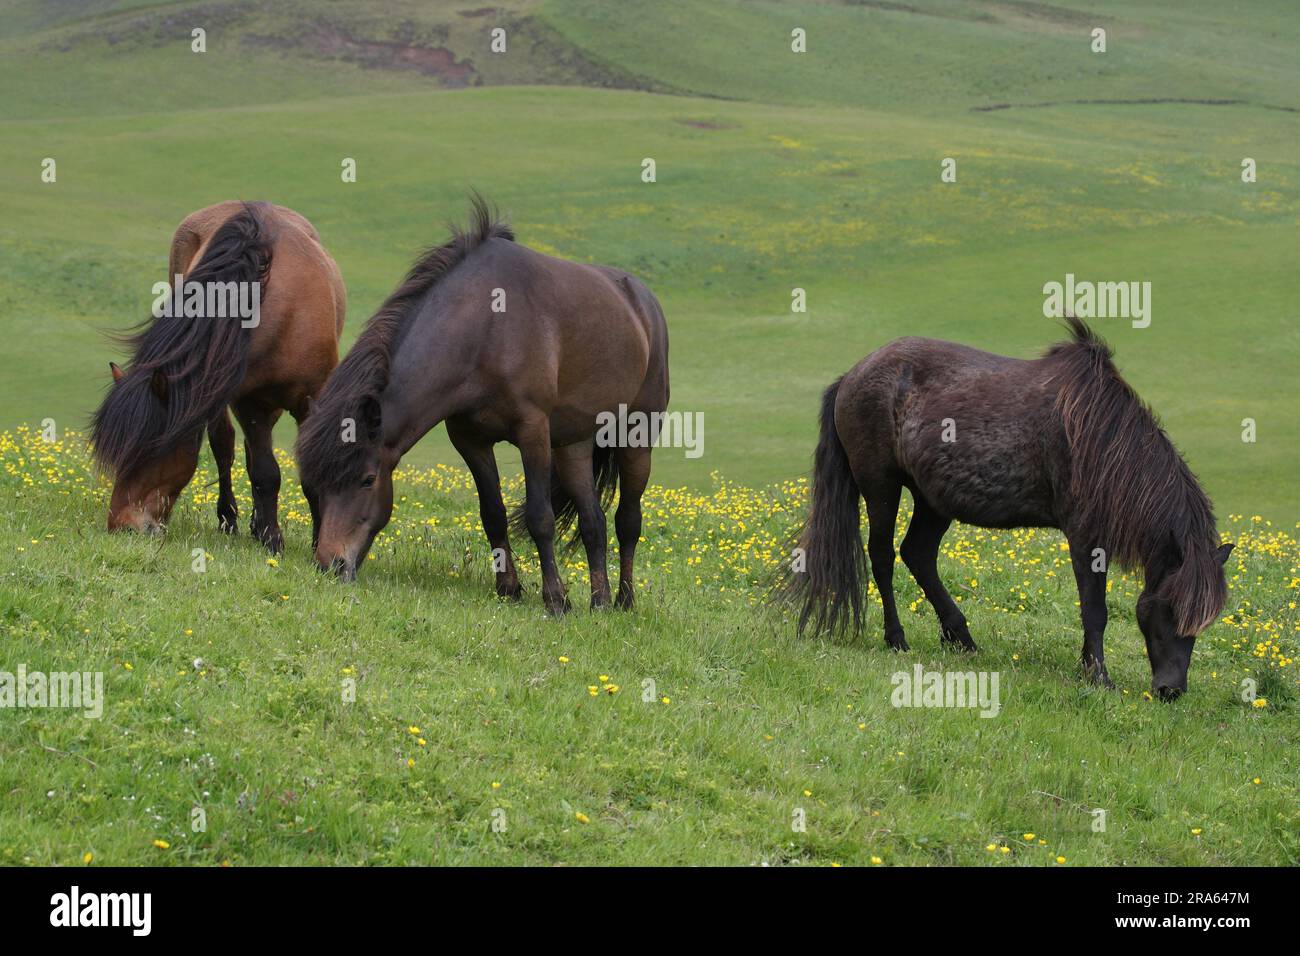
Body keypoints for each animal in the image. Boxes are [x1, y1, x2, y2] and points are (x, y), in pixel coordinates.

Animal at [89, 201, 348, 554]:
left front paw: (317, 542)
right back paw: (233, 519)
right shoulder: (250, 403)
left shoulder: (312, 400)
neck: (284, 312)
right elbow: (264, 472)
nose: (121, 526)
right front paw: (271, 538)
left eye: (148, 451)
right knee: (227, 447)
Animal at [297, 197, 670, 616]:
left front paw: (555, 599)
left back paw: (625, 599)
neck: (486, 327)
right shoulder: (470, 439)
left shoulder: (532, 430)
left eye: (367, 479)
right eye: (313, 481)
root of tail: (644, 305)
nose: (330, 563)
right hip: (573, 445)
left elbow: (540, 516)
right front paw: (508, 588)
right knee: (594, 519)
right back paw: (600, 601)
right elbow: (492, 513)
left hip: (637, 435)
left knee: (628, 520)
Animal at [774, 317, 1232, 697]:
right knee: (883, 557)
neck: (1102, 441)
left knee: (918, 555)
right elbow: (1095, 610)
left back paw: (961, 637)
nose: (1171, 690)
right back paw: (897, 638)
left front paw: (1089, 668)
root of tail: (851, 375)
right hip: (881, 487)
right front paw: (1098, 676)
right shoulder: (1085, 537)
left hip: (933, 501)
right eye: (1168, 609)